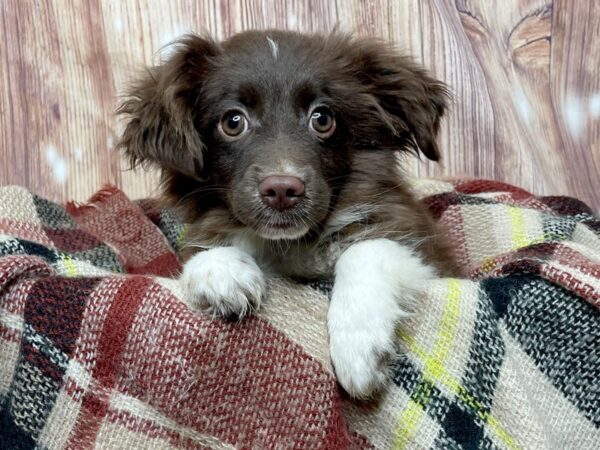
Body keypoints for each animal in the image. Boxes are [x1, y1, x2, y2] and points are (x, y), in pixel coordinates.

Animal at [117, 30, 458, 398]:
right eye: (232, 122)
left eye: (322, 118)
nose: (282, 189)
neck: (291, 244)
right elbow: (202, 249)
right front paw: (221, 272)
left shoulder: (423, 245)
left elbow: (365, 250)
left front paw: (357, 347)